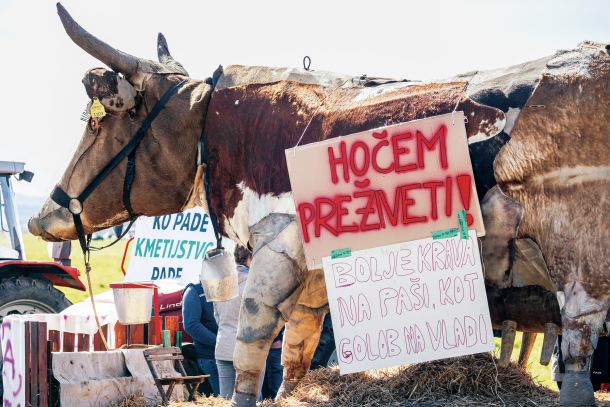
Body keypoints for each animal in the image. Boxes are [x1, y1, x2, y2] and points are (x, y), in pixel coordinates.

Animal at [28, 3, 608, 407]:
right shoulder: (312, 281)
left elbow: (250, 351)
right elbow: (298, 355)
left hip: (580, 261)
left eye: (100, 121)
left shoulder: (275, 251)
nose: (42, 216)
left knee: (578, 363)